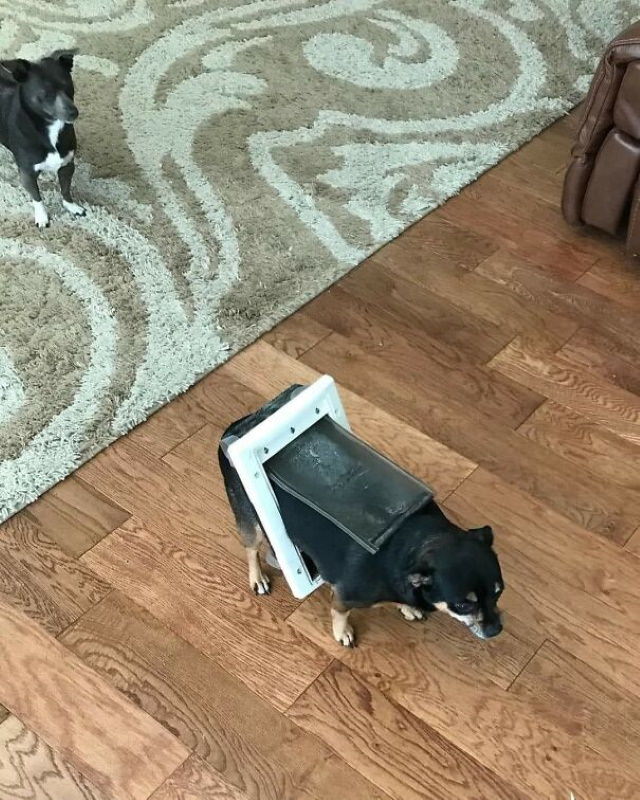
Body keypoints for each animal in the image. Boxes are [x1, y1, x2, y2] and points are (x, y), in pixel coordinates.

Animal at [0, 49, 85, 227]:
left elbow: (65, 189)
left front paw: (71, 206)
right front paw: (41, 216)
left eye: (68, 86)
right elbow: (36, 197)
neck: (51, 128)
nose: (74, 112)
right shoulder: (27, 173)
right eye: (46, 94)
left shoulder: (67, 166)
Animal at [218, 390, 502, 648]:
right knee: (251, 549)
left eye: (499, 591)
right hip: (251, 520)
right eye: (462, 604)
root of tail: (240, 425)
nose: (496, 630)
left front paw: (407, 608)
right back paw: (258, 578)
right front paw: (342, 632)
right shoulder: (345, 596)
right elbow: (339, 612)